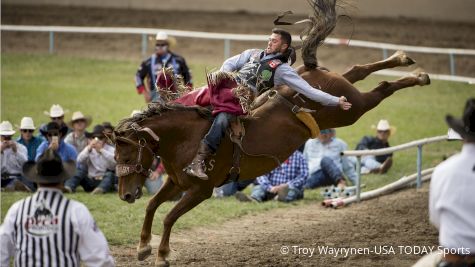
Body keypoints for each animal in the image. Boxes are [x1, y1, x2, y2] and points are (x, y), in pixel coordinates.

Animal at [110, 1, 432, 266]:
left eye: (125, 155)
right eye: (115, 157)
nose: (125, 195)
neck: (186, 138)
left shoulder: (201, 190)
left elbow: (168, 216)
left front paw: (162, 254)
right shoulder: (176, 182)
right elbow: (152, 205)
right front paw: (143, 247)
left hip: (351, 110)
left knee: (381, 89)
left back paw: (418, 76)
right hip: (333, 84)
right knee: (357, 69)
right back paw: (403, 59)